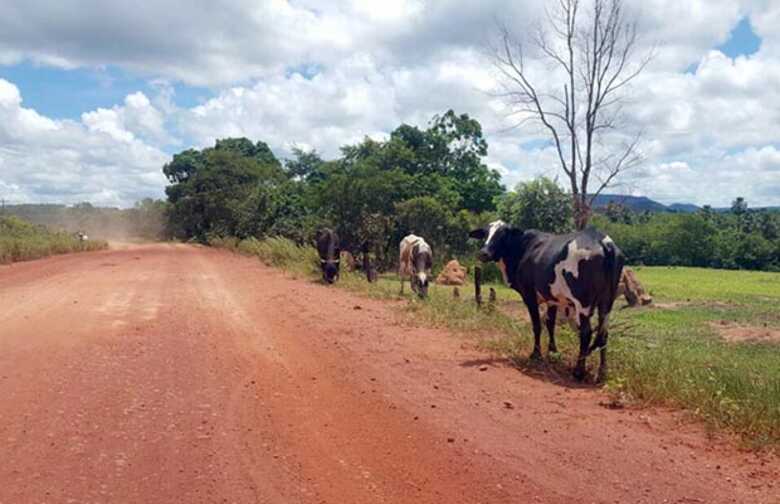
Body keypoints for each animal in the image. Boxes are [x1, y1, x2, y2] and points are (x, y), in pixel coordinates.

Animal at [470, 220, 628, 382]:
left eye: (503, 234)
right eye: (486, 233)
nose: (483, 253)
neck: (523, 248)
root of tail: (603, 241)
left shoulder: (529, 295)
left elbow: (537, 325)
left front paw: (536, 354)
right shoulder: (553, 299)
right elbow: (550, 323)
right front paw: (553, 352)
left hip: (583, 303)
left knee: (586, 333)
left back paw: (579, 371)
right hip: (607, 302)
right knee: (604, 334)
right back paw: (602, 372)